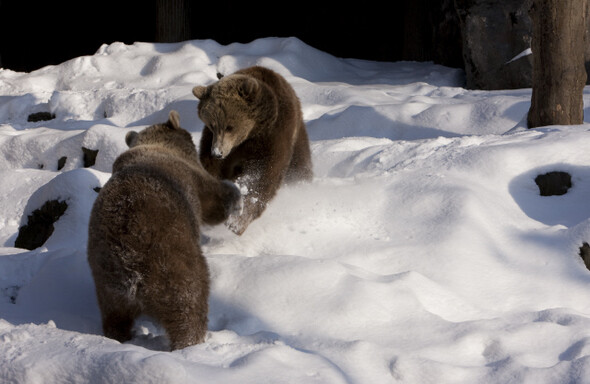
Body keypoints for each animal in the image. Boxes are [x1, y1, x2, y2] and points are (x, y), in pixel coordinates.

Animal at [88, 111, 240, 352]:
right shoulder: (193, 180)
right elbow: (214, 199)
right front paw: (237, 194)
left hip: (106, 280)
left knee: (115, 316)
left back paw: (119, 335)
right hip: (171, 260)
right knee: (189, 303)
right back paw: (191, 343)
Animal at [193, 65, 314, 236]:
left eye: (230, 126)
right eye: (211, 124)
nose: (217, 153)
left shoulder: (272, 137)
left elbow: (263, 175)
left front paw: (236, 221)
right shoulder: (214, 143)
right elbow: (211, 170)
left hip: (297, 141)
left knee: (299, 166)